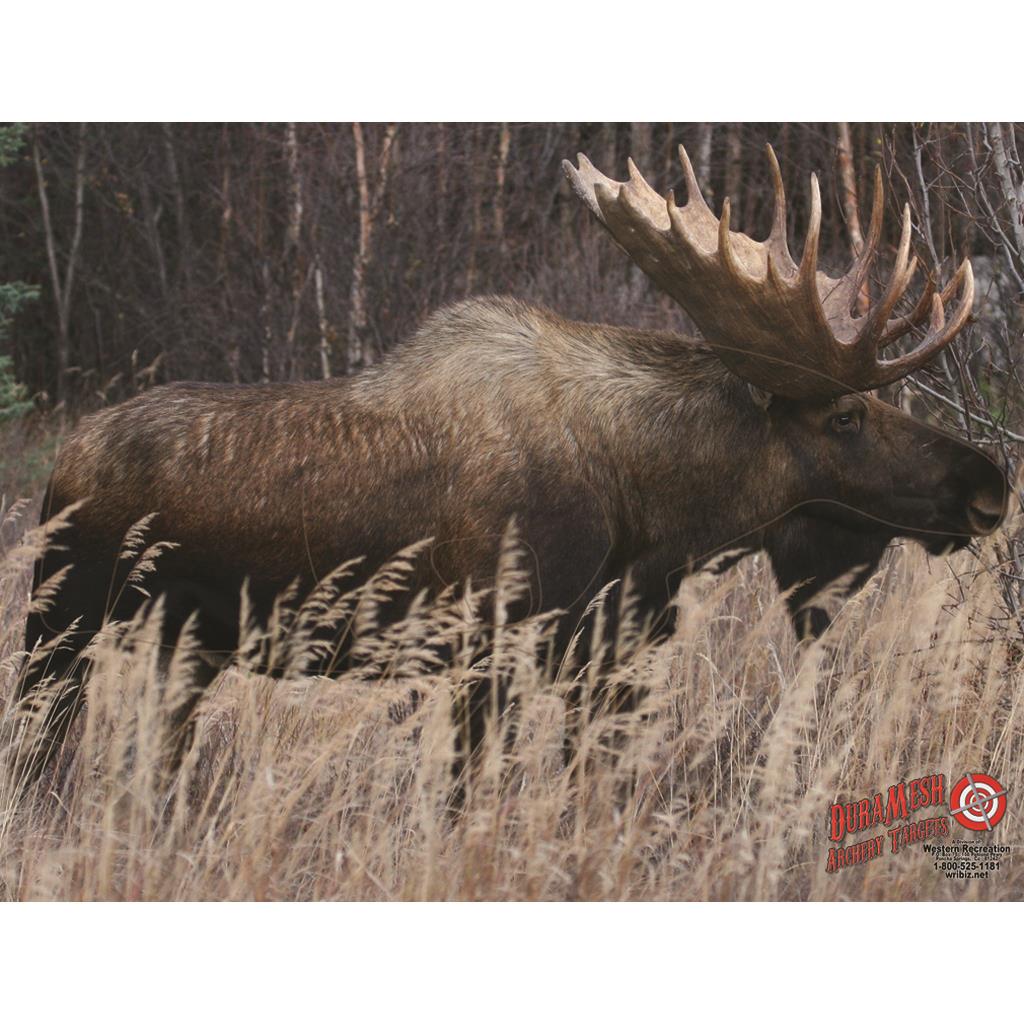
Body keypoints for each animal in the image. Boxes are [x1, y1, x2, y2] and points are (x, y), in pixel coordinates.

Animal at [16, 143, 1008, 783]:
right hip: (60, 622)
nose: (989, 485)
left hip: (181, 647)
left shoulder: (607, 655)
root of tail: (64, 461)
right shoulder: (487, 649)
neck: (653, 514)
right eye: (846, 414)